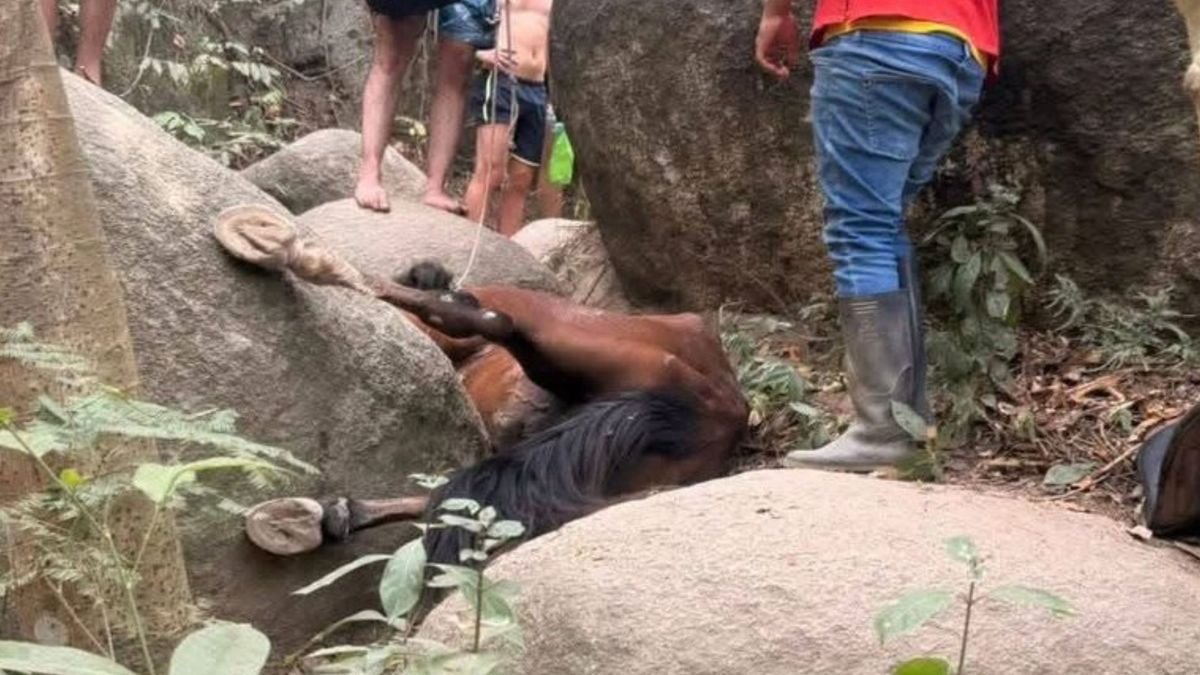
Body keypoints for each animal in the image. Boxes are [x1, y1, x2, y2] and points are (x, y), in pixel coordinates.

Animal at [214, 207, 749, 564]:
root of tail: (723, 406)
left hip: (558, 336)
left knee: (488, 319)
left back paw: (280, 247)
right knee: (456, 497)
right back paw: (310, 517)